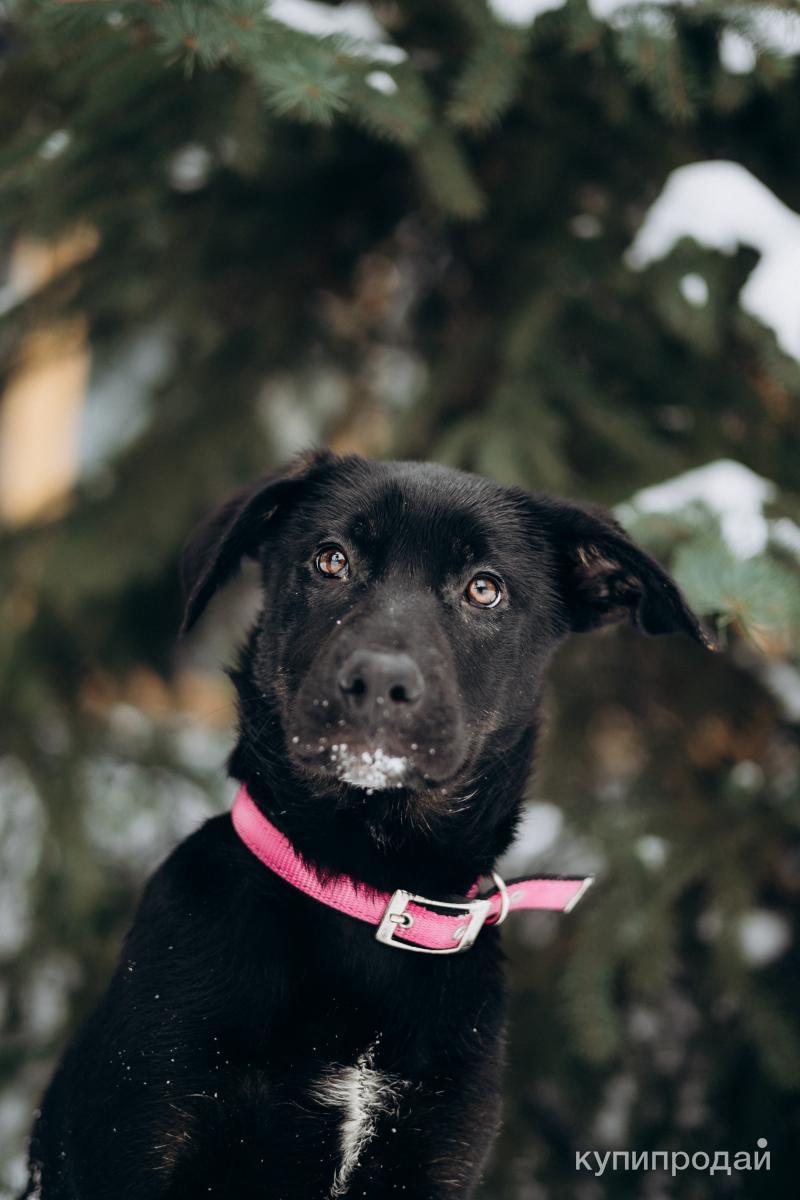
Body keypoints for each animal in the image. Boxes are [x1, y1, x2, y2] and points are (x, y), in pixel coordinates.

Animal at [23, 451, 705, 1200]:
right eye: (331, 560)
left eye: (485, 589)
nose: (379, 682)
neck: (364, 887)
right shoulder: (139, 1128)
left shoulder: (434, 1154)